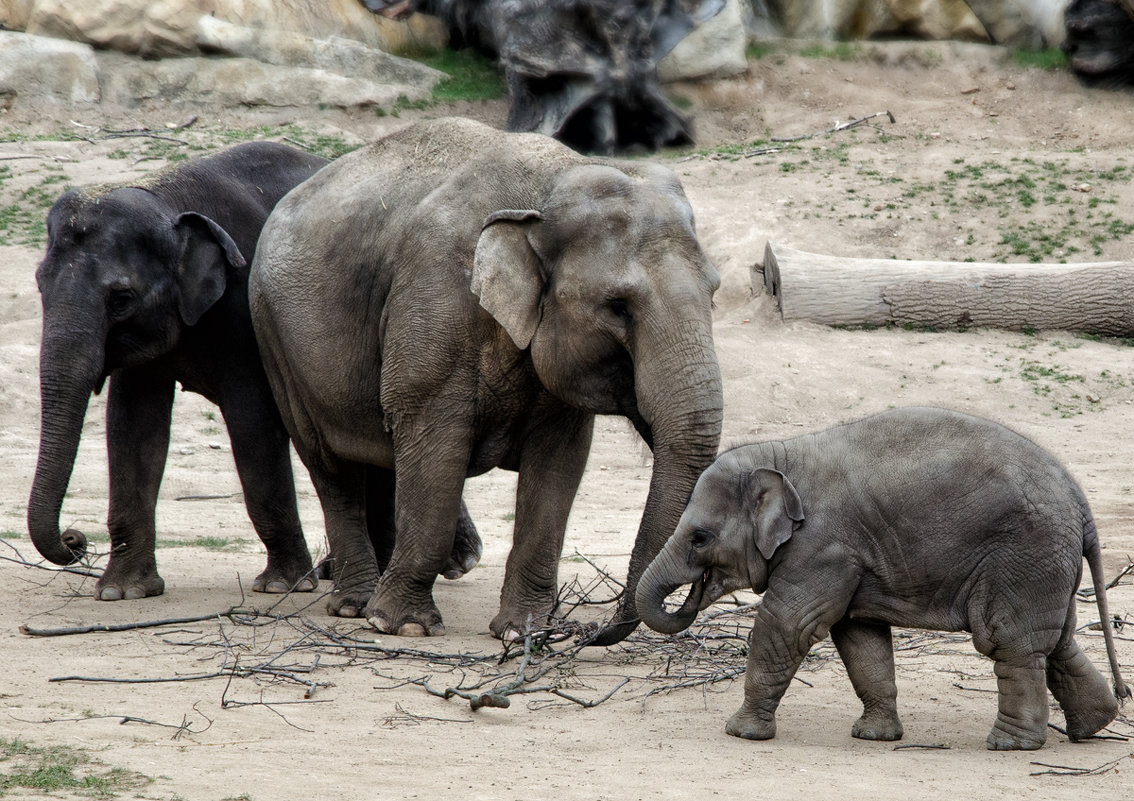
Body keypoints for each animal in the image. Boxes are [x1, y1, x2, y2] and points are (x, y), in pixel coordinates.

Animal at [251, 115, 721, 639]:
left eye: (715, 292)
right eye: (618, 307)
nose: (593, 633)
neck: (551, 184)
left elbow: (557, 469)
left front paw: (524, 632)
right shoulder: (435, 302)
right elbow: (432, 441)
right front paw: (404, 626)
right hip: (274, 338)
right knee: (332, 468)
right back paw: (355, 606)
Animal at [635, 406, 1129, 748]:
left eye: (700, 538)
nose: (692, 591)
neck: (782, 453)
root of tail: (1081, 503)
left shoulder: (823, 548)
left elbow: (789, 624)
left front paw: (740, 734)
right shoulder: (849, 558)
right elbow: (860, 636)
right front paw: (874, 737)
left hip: (1025, 556)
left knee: (1010, 641)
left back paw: (1009, 745)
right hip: (1047, 563)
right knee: (1056, 641)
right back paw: (1094, 725)